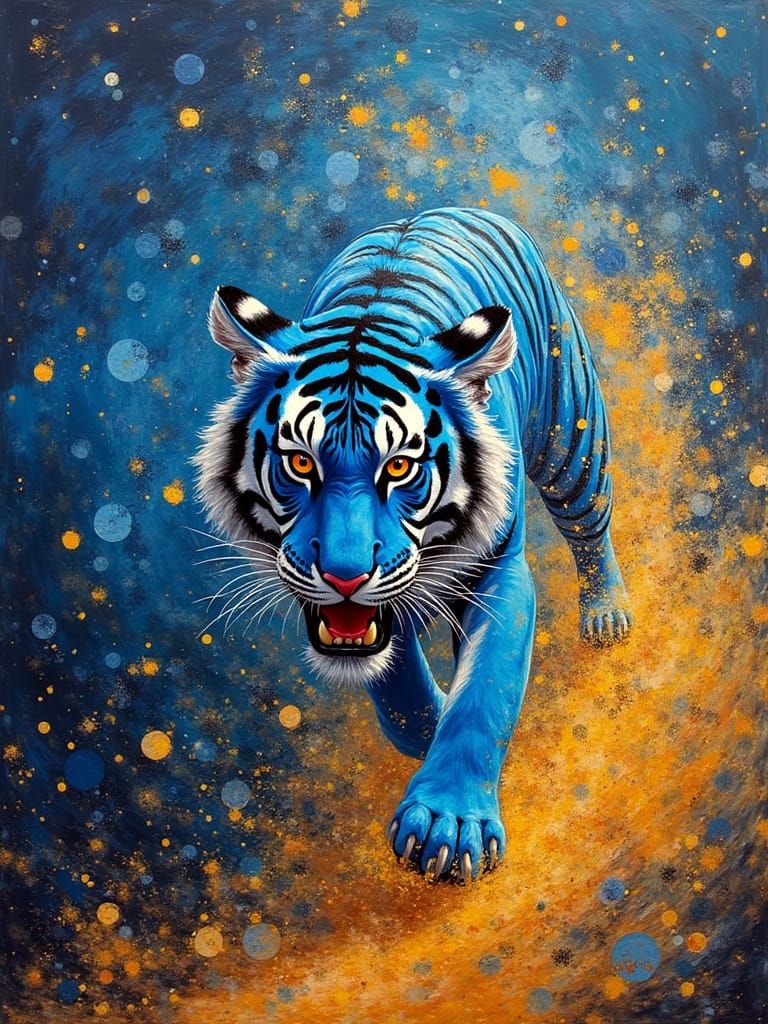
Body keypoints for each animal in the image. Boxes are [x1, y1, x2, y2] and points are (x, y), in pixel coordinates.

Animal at [194, 206, 632, 883]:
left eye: (399, 467)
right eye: (300, 462)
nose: (345, 574)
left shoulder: (499, 571)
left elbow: (484, 693)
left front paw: (449, 825)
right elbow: (397, 689)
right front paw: (430, 724)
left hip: (572, 434)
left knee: (590, 524)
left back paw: (606, 616)